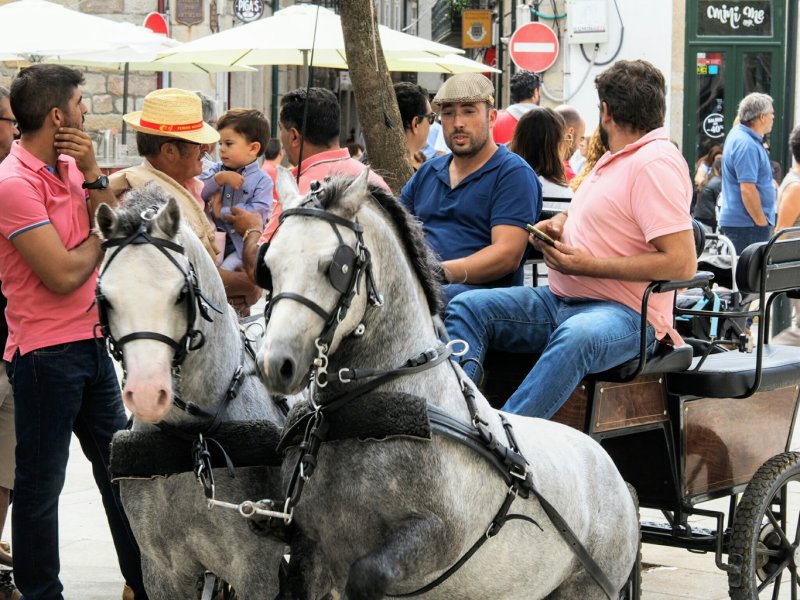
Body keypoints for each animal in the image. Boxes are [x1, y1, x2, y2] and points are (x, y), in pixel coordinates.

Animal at [96, 185, 290, 596]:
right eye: (105, 298)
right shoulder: (162, 572)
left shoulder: (255, 571)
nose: (147, 392)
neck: (192, 443)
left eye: (180, 293)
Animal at [260, 169, 640, 600]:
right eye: (268, 264)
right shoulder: (310, 547)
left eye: (334, 267)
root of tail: (617, 478)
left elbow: (368, 572)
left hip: (587, 588)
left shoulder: (441, 536)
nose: (276, 364)